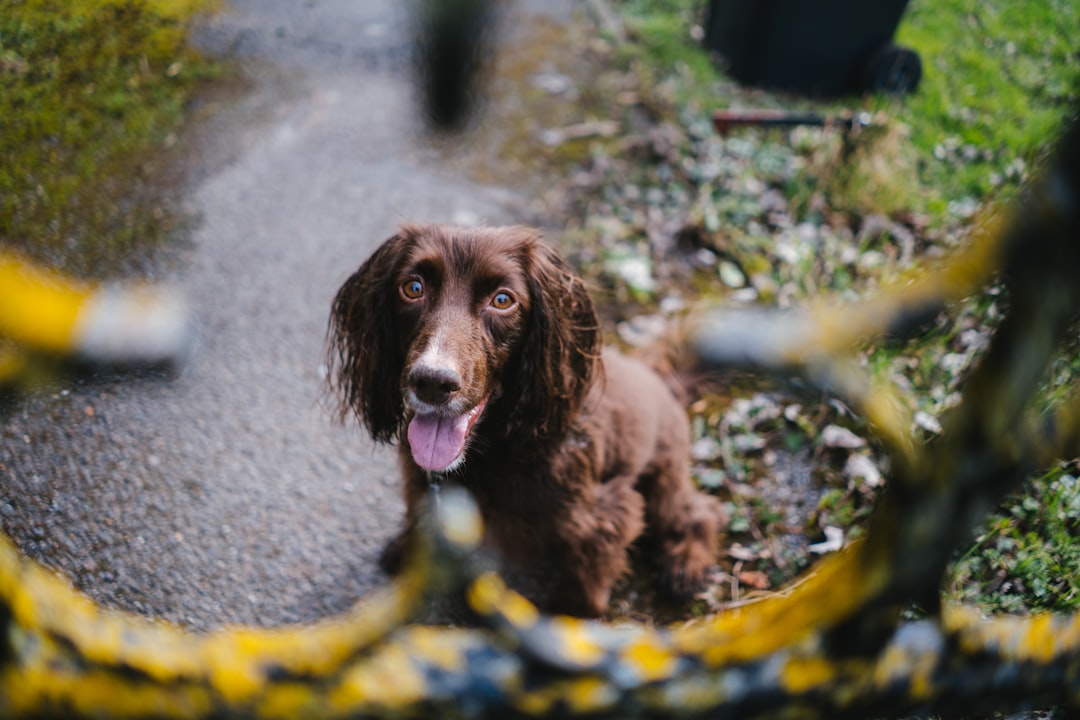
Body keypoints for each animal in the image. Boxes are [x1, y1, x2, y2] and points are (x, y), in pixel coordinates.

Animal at [324, 226, 721, 621]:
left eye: (502, 300)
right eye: (413, 287)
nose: (432, 382)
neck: (495, 451)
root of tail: (659, 377)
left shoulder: (606, 515)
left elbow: (584, 583)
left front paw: (568, 621)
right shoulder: (423, 486)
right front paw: (408, 552)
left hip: (663, 475)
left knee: (698, 512)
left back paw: (684, 566)